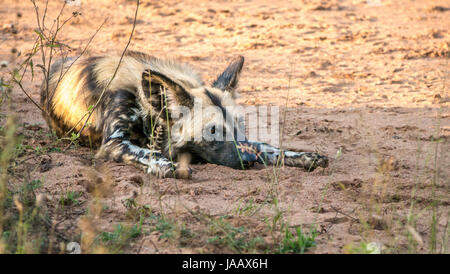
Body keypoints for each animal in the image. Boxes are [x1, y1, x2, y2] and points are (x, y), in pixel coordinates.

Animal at [40, 51, 328, 179]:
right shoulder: (113, 143)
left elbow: (264, 146)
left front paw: (304, 156)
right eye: (212, 131)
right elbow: (146, 153)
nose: (248, 161)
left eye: (239, 126)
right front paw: (164, 165)